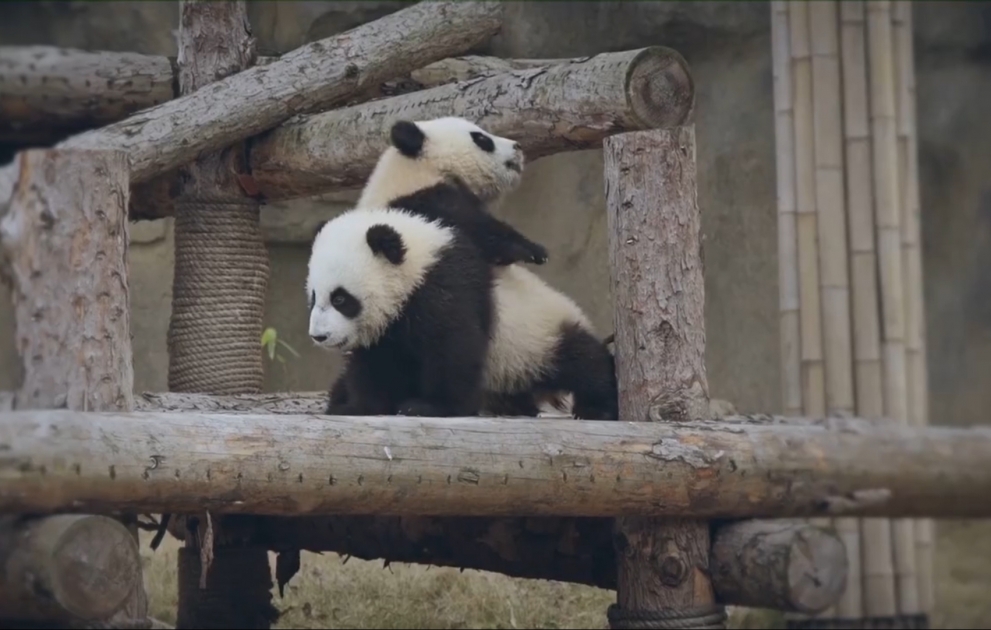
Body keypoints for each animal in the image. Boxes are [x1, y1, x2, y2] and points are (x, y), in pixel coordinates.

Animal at [307, 206, 495, 418]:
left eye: (339, 299)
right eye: (313, 296)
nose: (319, 336)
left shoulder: (445, 288)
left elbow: (452, 345)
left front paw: (432, 406)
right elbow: (377, 362)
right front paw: (358, 406)